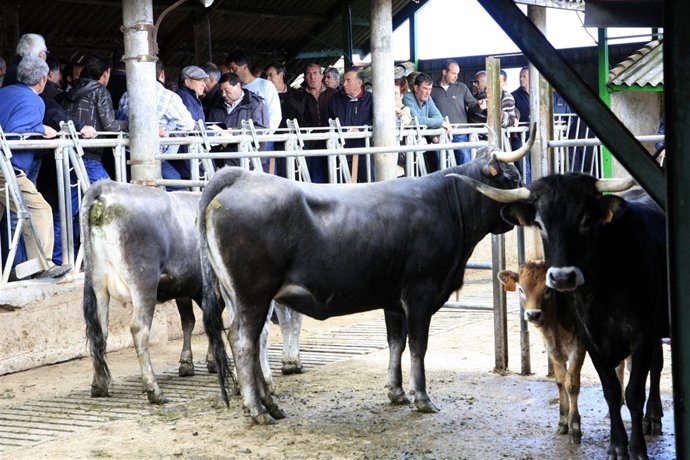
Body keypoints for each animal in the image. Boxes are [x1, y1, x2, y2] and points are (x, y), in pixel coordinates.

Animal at [81, 180, 303, 405]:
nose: (293, 363)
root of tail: (108, 189)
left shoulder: (188, 289)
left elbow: (195, 321)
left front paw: (194, 362)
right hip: (143, 282)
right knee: (139, 329)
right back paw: (154, 390)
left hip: (99, 285)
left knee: (100, 330)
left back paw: (100, 385)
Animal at [199, 127, 536, 424]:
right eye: (512, 178)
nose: (534, 209)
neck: (447, 204)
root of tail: (241, 177)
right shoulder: (421, 293)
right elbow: (418, 346)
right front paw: (422, 398)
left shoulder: (393, 299)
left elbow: (396, 343)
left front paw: (396, 392)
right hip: (253, 294)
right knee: (244, 341)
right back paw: (257, 410)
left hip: (240, 296)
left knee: (251, 339)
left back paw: (271, 405)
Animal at [459, 172, 667, 459]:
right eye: (539, 223)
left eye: (586, 219)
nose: (562, 277)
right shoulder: (592, 340)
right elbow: (610, 391)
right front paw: (616, 446)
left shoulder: (641, 335)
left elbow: (633, 392)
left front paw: (636, 449)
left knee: (655, 367)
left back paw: (652, 418)